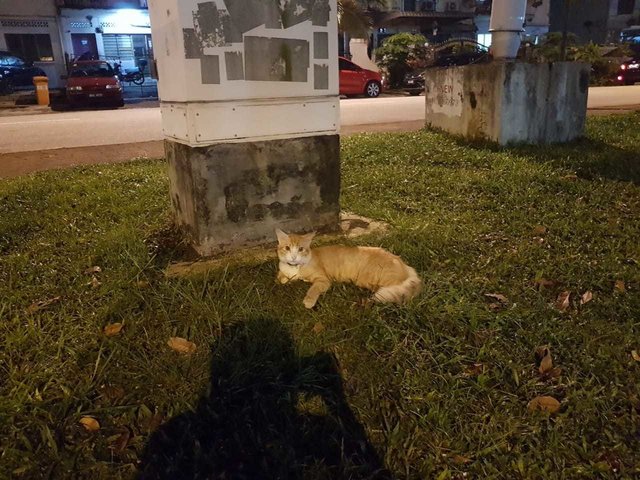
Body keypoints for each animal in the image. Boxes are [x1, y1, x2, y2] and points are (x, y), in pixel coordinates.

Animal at [274, 229, 420, 308]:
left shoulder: (323, 280)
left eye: (300, 249)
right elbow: (281, 278)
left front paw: (308, 301)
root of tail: (407, 266)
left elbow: (313, 289)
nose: (293, 257)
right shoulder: (283, 272)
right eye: (287, 248)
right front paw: (287, 279)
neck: (295, 268)